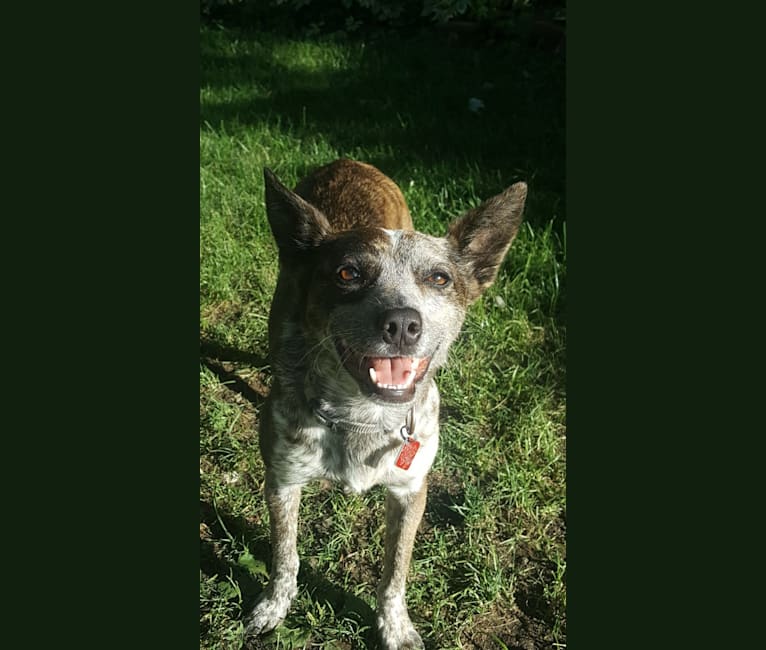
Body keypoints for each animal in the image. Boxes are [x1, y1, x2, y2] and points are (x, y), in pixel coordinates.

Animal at [246, 158, 528, 648]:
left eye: (439, 278)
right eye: (347, 274)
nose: (401, 323)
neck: (363, 416)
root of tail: (347, 162)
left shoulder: (411, 492)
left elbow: (395, 573)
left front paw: (395, 628)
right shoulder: (281, 481)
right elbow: (285, 556)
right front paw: (273, 607)